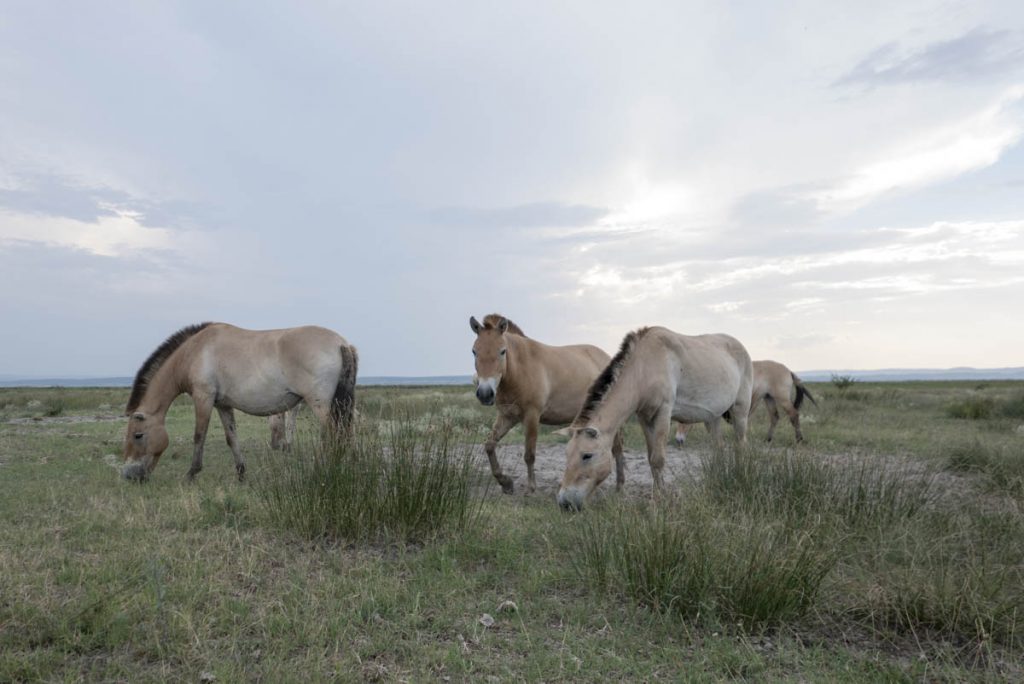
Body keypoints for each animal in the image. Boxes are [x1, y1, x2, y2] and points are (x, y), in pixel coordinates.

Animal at [121, 322, 358, 482]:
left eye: (138, 435)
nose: (128, 475)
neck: (195, 351)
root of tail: (342, 343)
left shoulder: (203, 398)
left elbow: (199, 436)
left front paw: (191, 473)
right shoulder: (222, 404)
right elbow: (231, 437)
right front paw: (241, 473)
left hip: (321, 406)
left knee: (334, 435)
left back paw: (324, 469)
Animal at [470, 313, 624, 495]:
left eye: (502, 351)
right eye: (474, 351)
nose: (485, 394)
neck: (520, 369)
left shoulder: (531, 417)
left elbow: (529, 455)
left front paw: (531, 488)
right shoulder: (507, 416)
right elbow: (489, 445)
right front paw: (505, 482)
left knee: (617, 448)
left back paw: (619, 486)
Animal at [558, 326, 753, 510]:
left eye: (587, 455)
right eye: (566, 454)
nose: (564, 503)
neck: (644, 367)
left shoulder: (663, 413)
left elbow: (658, 459)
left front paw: (658, 500)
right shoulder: (645, 418)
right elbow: (651, 459)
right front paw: (661, 492)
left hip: (740, 411)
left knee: (741, 444)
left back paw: (740, 475)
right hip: (713, 417)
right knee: (719, 447)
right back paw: (717, 478)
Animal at [672, 359, 818, 444]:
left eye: (683, 421)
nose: (678, 440)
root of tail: (788, 371)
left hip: (782, 398)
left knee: (794, 414)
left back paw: (799, 439)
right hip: (768, 398)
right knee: (775, 417)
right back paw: (768, 439)